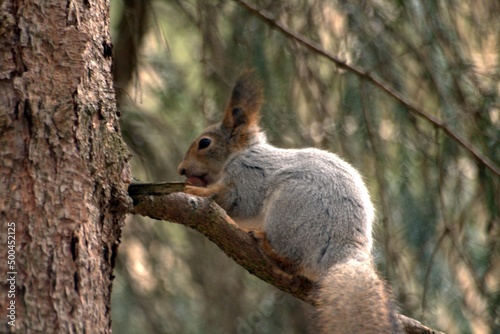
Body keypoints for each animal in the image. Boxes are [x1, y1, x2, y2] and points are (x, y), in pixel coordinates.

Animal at [178, 69, 404, 332]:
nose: (181, 169)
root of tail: (344, 250)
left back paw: (268, 247)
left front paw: (192, 189)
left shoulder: (248, 175)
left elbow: (233, 200)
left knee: (292, 262)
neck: (240, 154)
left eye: (204, 143)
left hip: (288, 212)